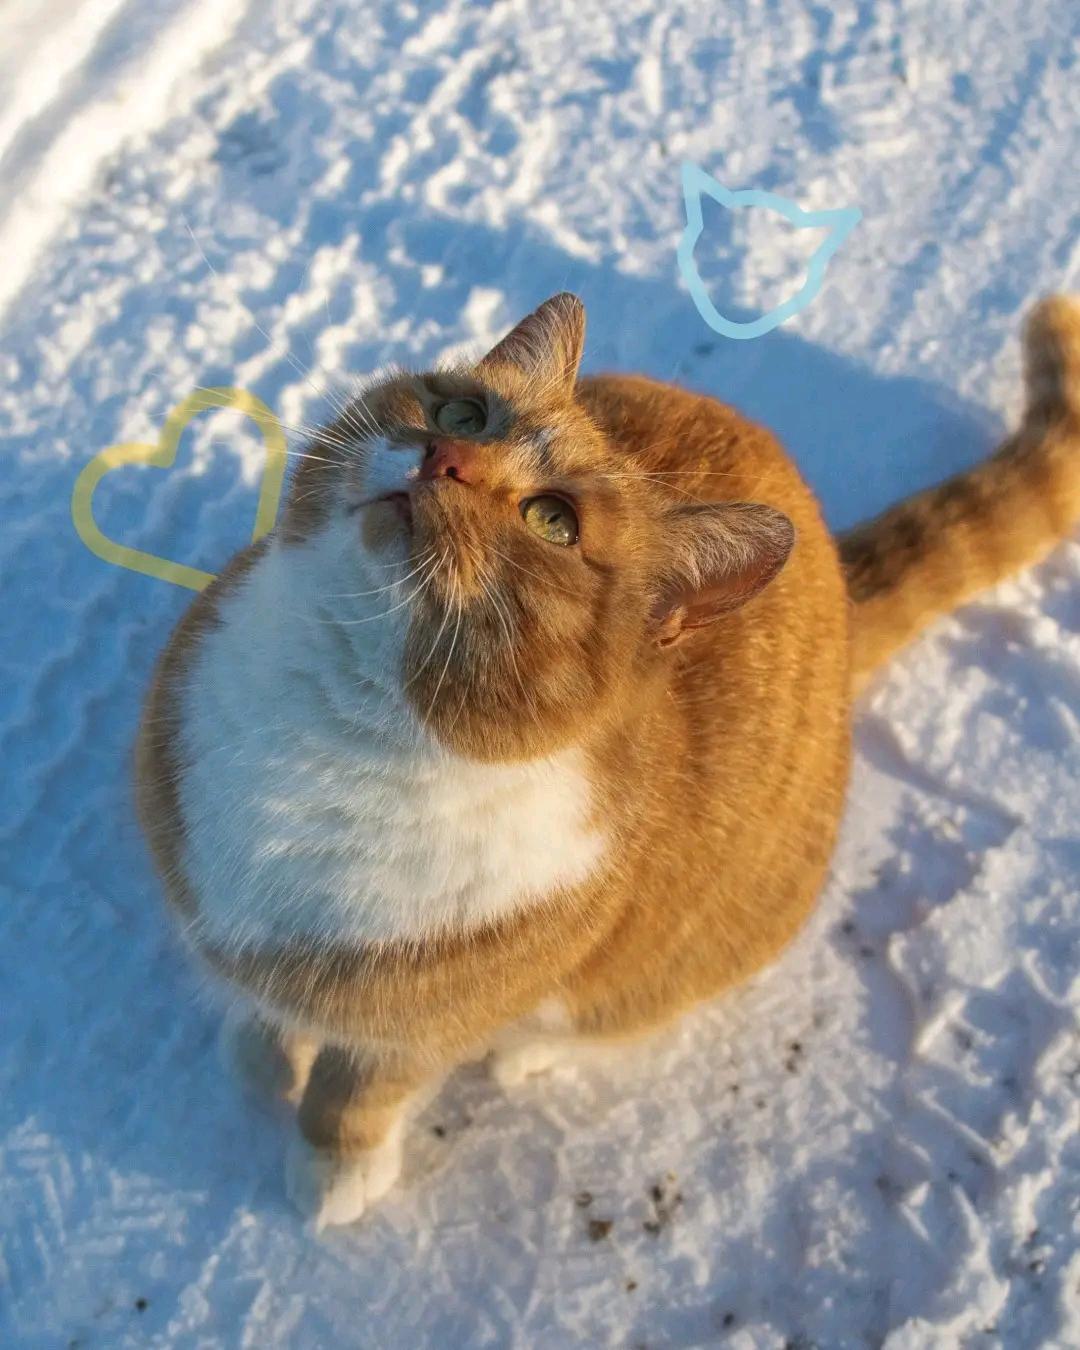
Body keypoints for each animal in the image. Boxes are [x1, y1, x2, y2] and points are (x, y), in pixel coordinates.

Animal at [135, 291, 1080, 1228]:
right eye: (462, 412)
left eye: (553, 522)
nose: (444, 456)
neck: (339, 718)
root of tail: (839, 588)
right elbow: (267, 1012)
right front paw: (262, 1048)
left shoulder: (420, 1026)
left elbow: (359, 1091)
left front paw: (335, 1163)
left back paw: (528, 1054)